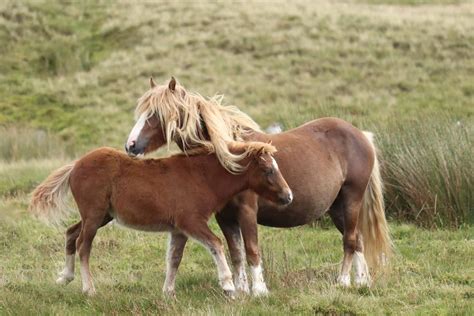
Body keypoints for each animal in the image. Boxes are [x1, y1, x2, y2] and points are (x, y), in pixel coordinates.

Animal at [29, 141, 292, 296]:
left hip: (101, 216)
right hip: (94, 215)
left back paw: (65, 277)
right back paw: (89, 288)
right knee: (83, 244)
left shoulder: (178, 229)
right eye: (268, 170)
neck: (201, 177)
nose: (288, 196)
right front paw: (227, 285)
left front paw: (168, 292)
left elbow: (174, 258)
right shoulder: (191, 222)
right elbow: (216, 244)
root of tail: (75, 165)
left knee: (71, 234)